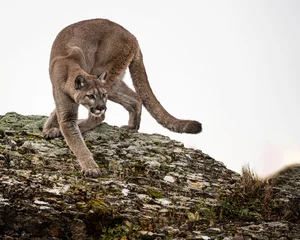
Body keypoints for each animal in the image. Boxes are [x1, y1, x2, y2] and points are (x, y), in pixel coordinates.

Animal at [42, 19, 202, 178]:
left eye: (102, 95)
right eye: (91, 96)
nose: (101, 106)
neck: (69, 67)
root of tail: (132, 36)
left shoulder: (69, 115)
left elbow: (76, 141)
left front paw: (91, 168)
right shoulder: (65, 108)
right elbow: (57, 113)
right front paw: (49, 128)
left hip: (107, 74)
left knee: (101, 116)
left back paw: (80, 126)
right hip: (113, 82)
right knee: (136, 98)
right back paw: (132, 127)